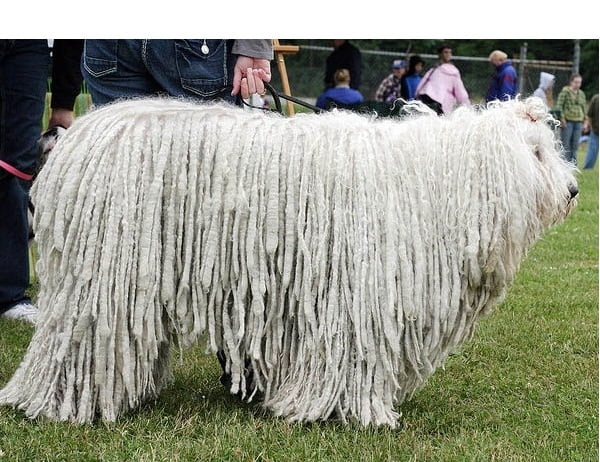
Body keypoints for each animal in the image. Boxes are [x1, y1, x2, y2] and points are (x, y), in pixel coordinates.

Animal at [0, 95, 576, 428]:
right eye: (537, 153)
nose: (573, 191)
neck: (430, 183)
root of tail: (75, 138)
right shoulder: (355, 299)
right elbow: (351, 357)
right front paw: (350, 414)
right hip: (103, 275)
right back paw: (59, 404)